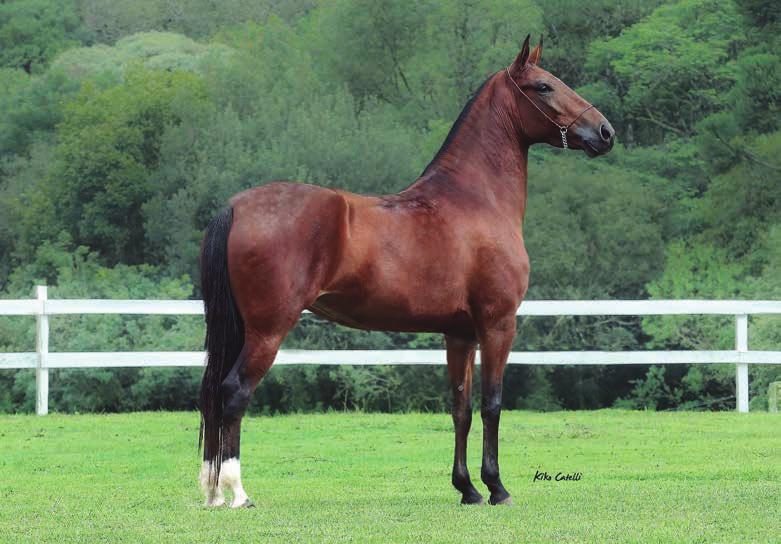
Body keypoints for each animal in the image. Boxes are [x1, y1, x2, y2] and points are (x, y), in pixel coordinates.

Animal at [198, 36, 612, 508]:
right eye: (544, 86)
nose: (605, 132)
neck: (476, 200)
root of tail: (236, 206)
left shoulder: (460, 333)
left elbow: (460, 409)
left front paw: (467, 488)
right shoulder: (497, 324)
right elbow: (492, 404)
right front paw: (496, 487)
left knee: (213, 395)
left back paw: (212, 492)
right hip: (268, 330)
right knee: (233, 392)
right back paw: (236, 493)